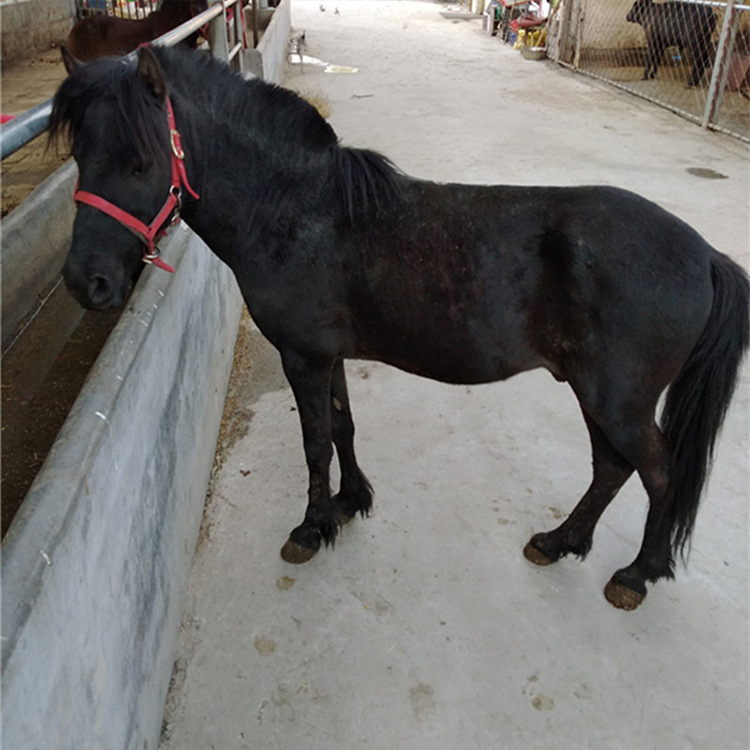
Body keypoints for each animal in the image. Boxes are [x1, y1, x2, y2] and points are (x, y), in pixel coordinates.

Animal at [50, 44, 749, 611]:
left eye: (140, 164)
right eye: (81, 155)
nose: (87, 283)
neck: (295, 211)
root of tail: (704, 255)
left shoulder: (303, 356)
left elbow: (315, 442)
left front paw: (311, 528)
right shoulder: (326, 355)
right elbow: (343, 427)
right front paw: (351, 502)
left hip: (617, 398)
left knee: (657, 472)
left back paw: (636, 574)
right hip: (597, 394)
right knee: (612, 468)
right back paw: (559, 541)